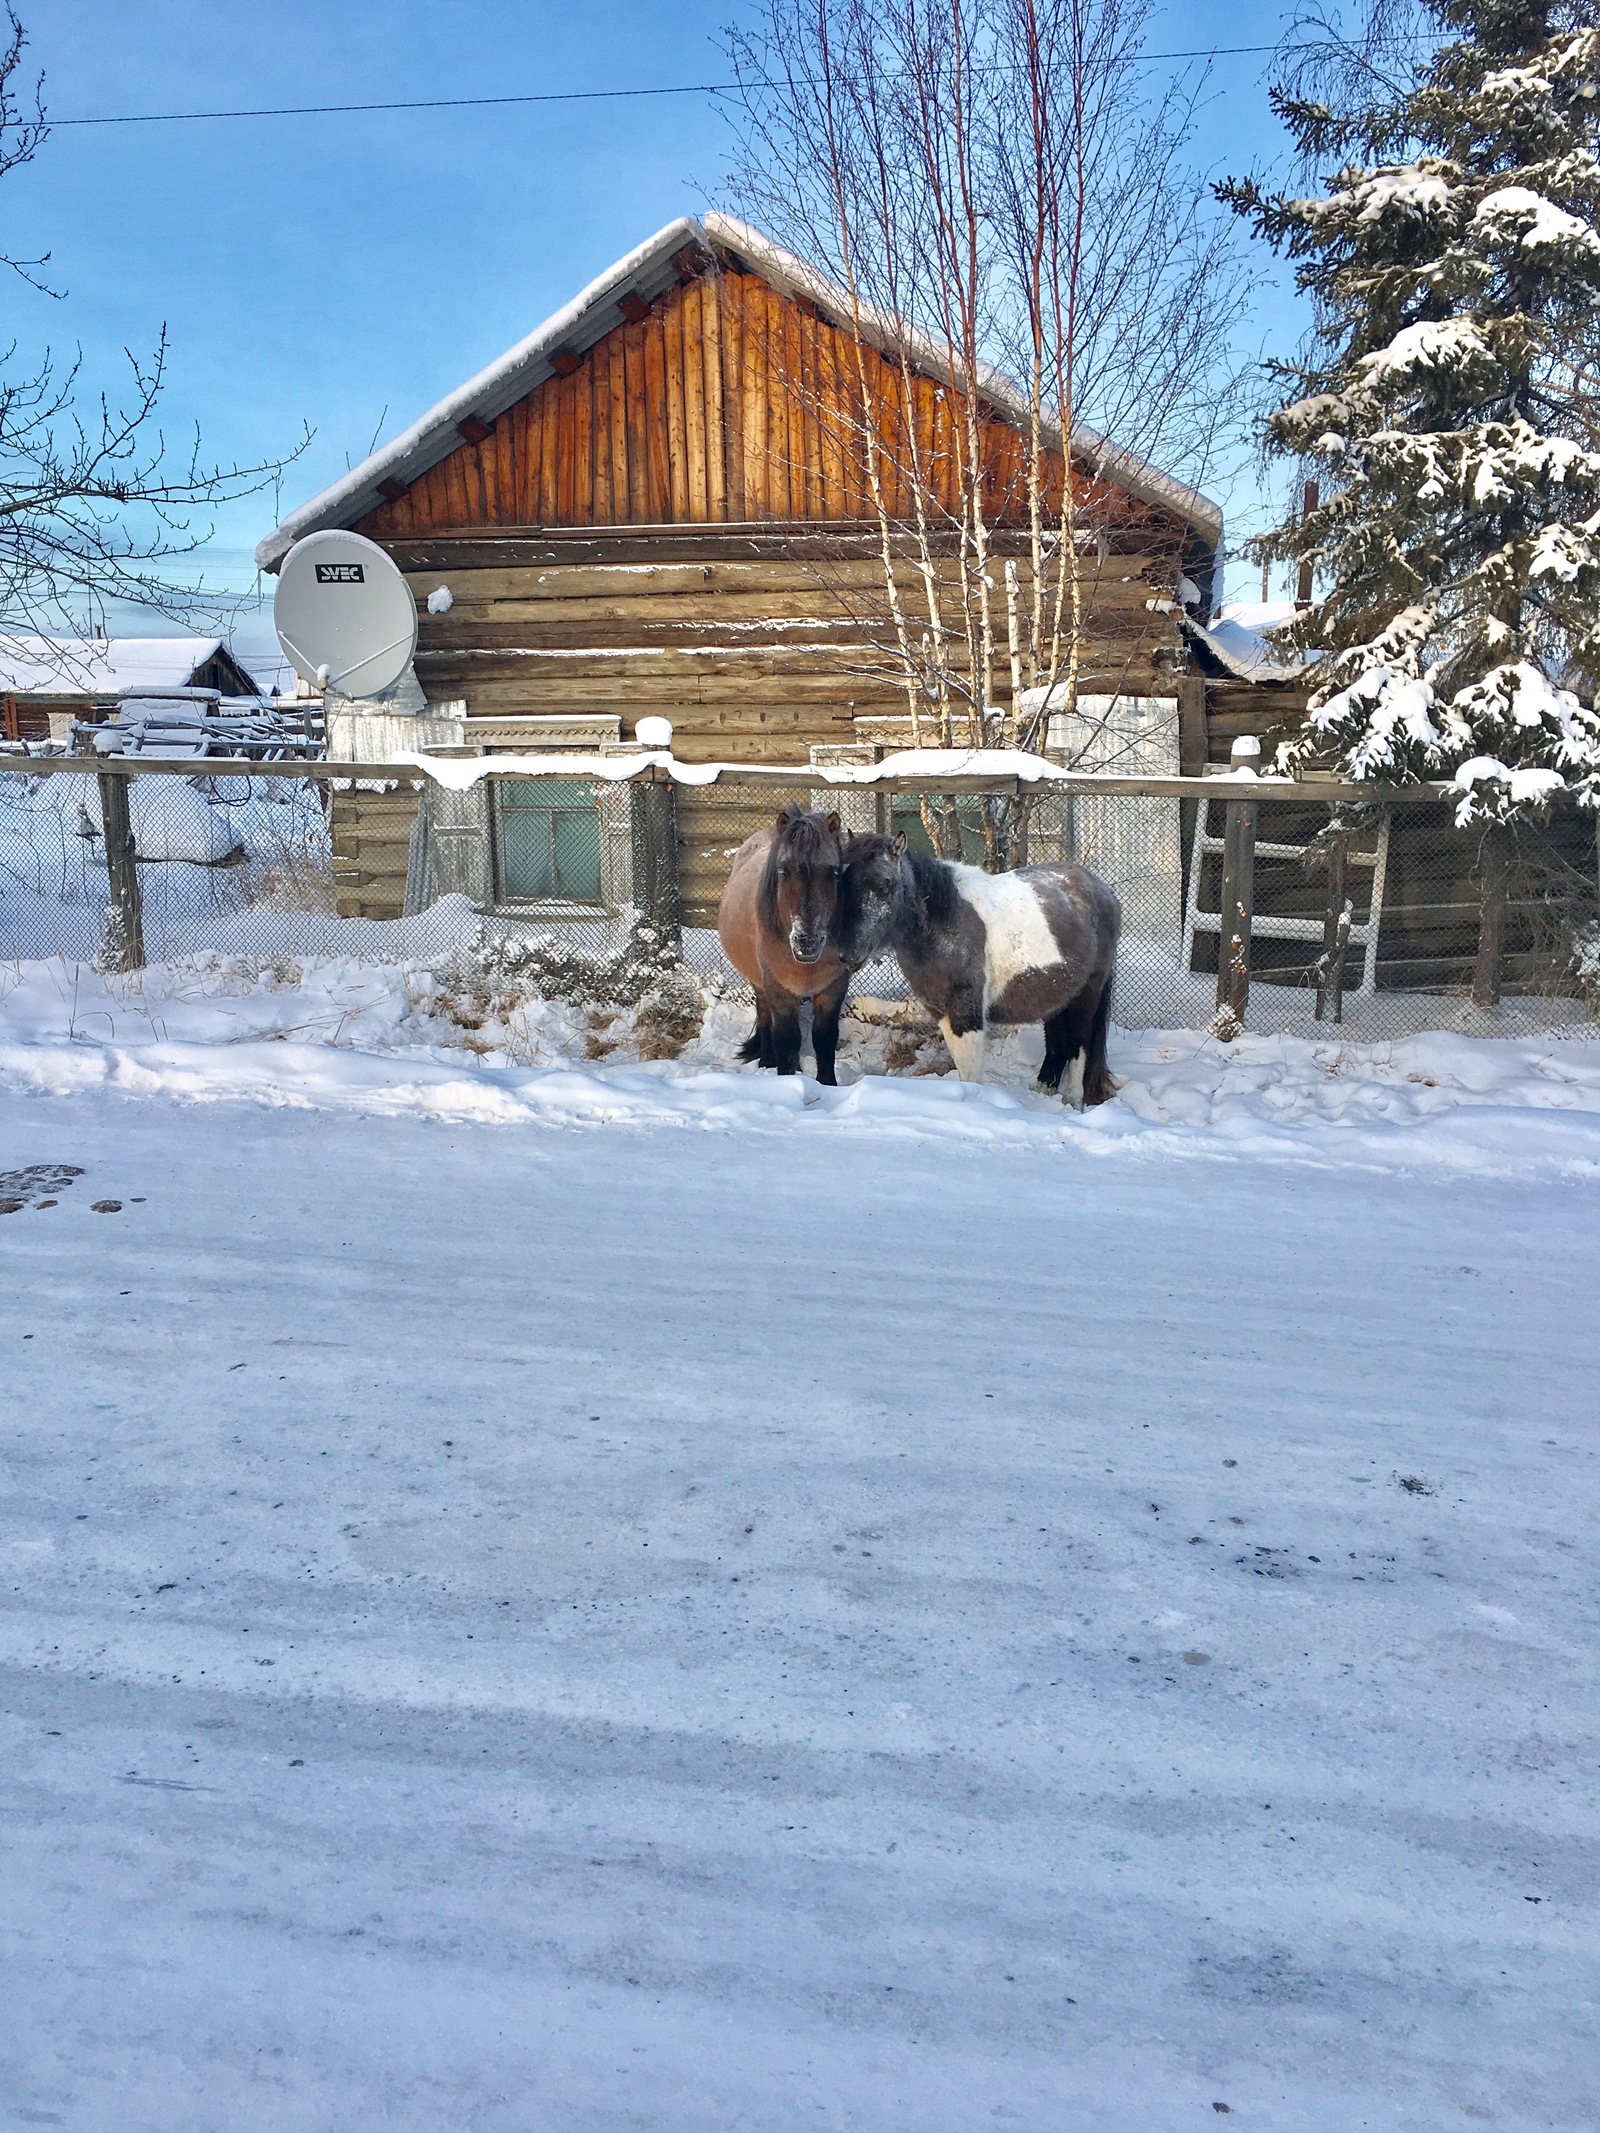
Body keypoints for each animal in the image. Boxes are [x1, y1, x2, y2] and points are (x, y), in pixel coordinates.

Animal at [721, 810, 908, 1092]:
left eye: (834, 873)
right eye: (784, 871)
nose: (807, 942)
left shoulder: (833, 988)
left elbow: (824, 1039)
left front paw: (827, 1084)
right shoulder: (779, 989)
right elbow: (786, 1041)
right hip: (759, 983)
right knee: (764, 1015)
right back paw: (766, 1060)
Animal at [891, 848, 1126, 1109]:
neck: (943, 916)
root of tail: (1103, 891)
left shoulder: (967, 1012)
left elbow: (970, 1071)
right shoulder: (944, 1012)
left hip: (1086, 994)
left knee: (1079, 1043)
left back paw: (1073, 1101)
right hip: (1057, 995)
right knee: (1058, 1041)